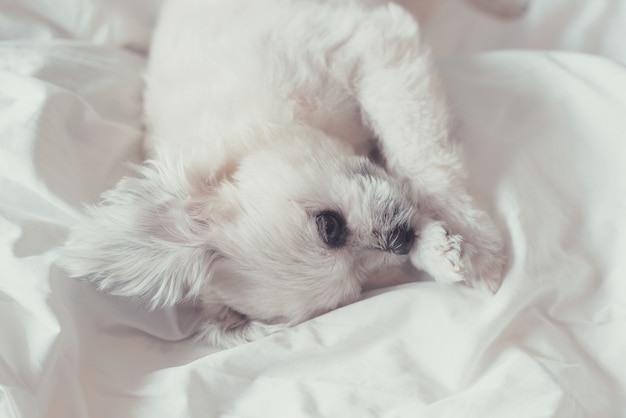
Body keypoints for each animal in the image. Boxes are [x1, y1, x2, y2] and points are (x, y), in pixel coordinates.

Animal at [59, 0, 520, 346]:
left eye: (328, 226)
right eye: (360, 284)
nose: (400, 239)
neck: (255, 122)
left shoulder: (376, 44)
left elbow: (420, 155)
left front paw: (476, 242)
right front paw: (441, 253)